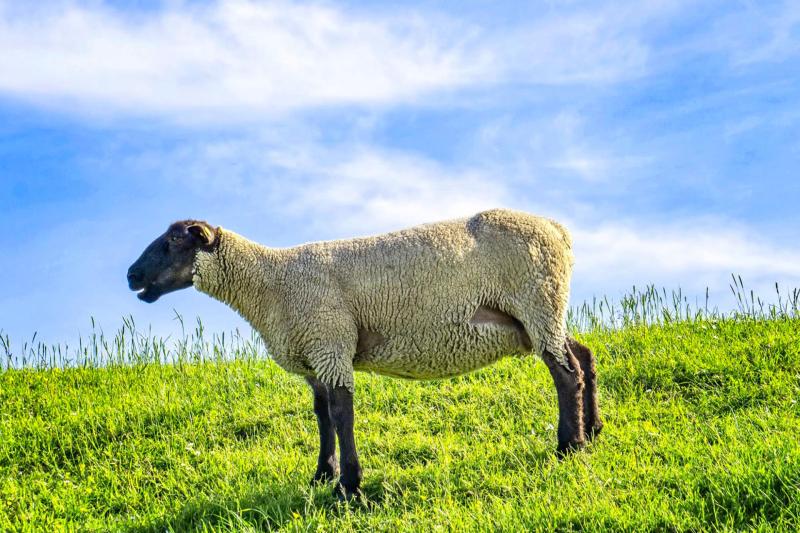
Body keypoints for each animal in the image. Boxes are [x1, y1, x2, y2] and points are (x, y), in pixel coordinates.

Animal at [127, 209, 602, 500]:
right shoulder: (316, 353)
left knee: (565, 372)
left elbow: (342, 415)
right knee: (582, 356)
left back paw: (569, 445)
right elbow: (322, 416)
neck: (270, 283)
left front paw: (349, 488)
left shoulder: (331, 341)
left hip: (536, 297)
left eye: (174, 241)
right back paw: (593, 429)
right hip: (539, 314)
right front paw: (322, 474)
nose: (131, 275)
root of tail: (559, 231)